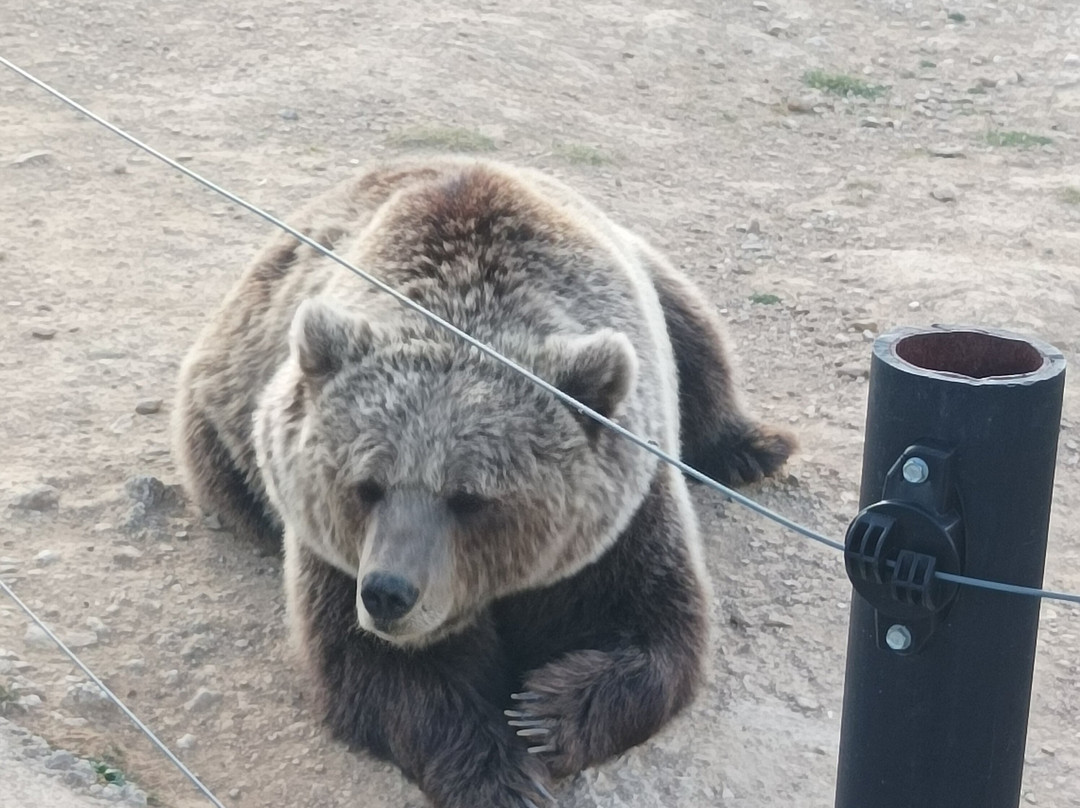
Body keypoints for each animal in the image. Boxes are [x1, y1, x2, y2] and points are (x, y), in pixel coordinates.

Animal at [172, 157, 793, 807]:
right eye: (366, 485)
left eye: (468, 498)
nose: (388, 593)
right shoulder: (334, 555)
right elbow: (378, 671)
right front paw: (500, 773)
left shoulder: (626, 512)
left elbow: (659, 625)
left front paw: (542, 714)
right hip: (225, 413)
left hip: (656, 282)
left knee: (699, 338)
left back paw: (752, 448)